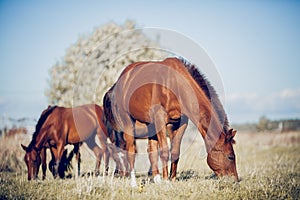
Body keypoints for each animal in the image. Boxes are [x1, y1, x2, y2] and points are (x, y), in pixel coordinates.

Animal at [103, 57, 239, 187]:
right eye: (230, 156)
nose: (235, 180)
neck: (175, 84)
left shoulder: (181, 123)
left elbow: (174, 152)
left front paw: (172, 179)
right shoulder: (160, 119)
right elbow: (164, 152)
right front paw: (166, 180)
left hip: (150, 126)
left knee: (151, 152)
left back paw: (157, 180)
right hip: (128, 123)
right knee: (130, 151)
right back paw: (134, 183)